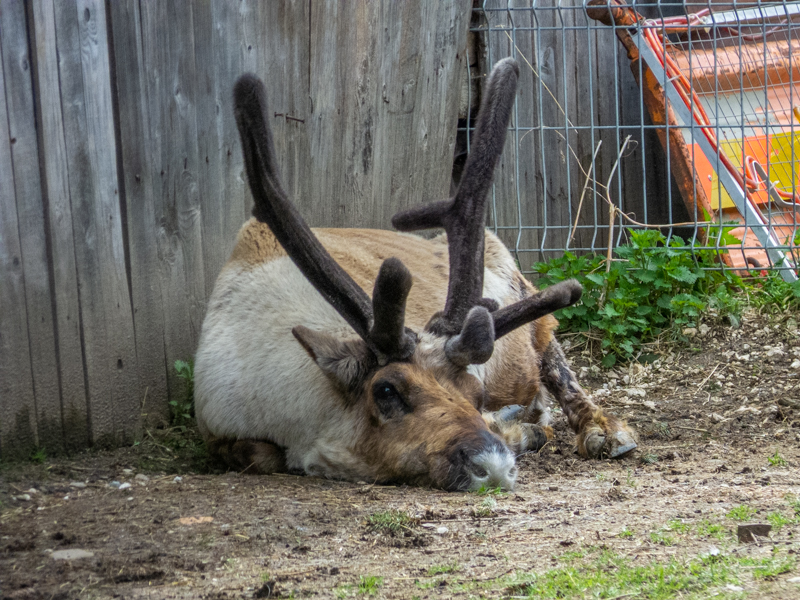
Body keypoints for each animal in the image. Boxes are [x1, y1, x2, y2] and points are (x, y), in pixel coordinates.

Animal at [194, 58, 636, 492]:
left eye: (476, 393)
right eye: (386, 390)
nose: (493, 466)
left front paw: (516, 430)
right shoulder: (219, 428)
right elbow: (258, 454)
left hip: (531, 306)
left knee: (561, 372)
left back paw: (606, 433)